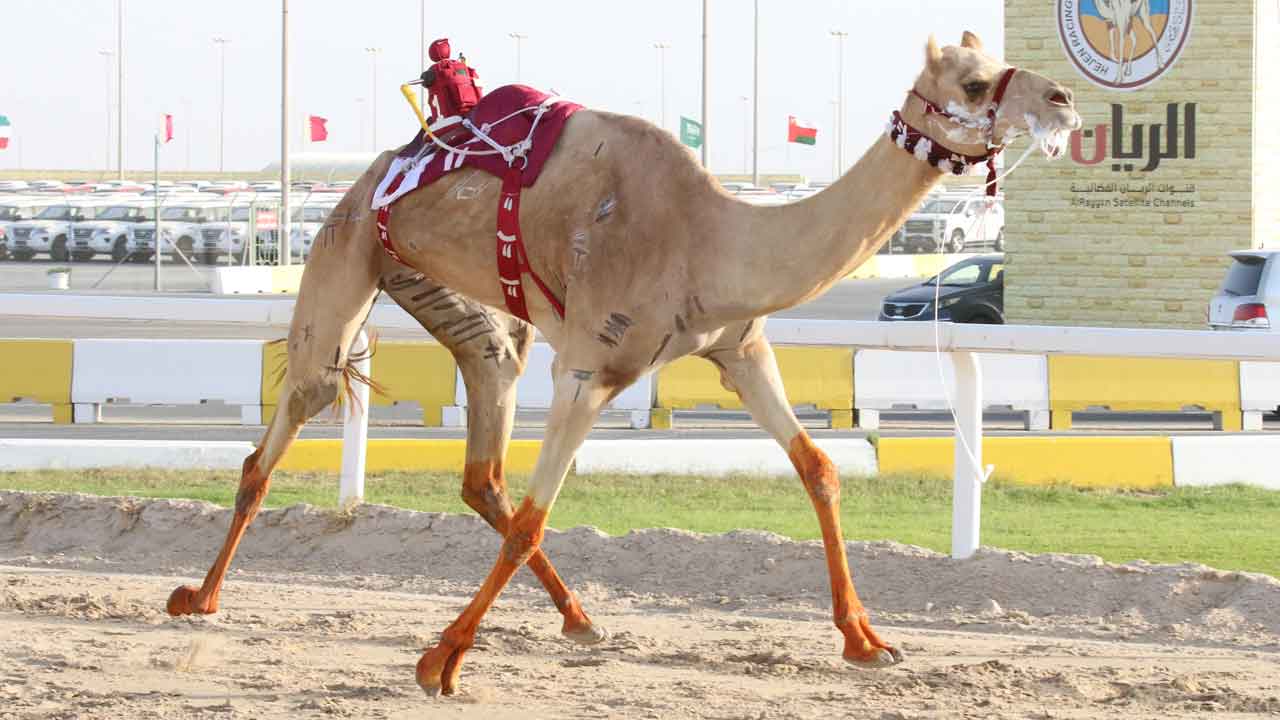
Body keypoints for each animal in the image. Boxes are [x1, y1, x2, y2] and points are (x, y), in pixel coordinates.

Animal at [165, 31, 1080, 695]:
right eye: (974, 82)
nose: (1064, 98)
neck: (712, 236)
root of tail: (377, 171)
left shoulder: (738, 347)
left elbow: (818, 467)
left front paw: (867, 640)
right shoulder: (589, 367)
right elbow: (537, 515)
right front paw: (439, 662)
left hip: (468, 313)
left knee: (482, 460)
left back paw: (579, 618)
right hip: (346, 253)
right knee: (289, 421)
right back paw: (197, 596)